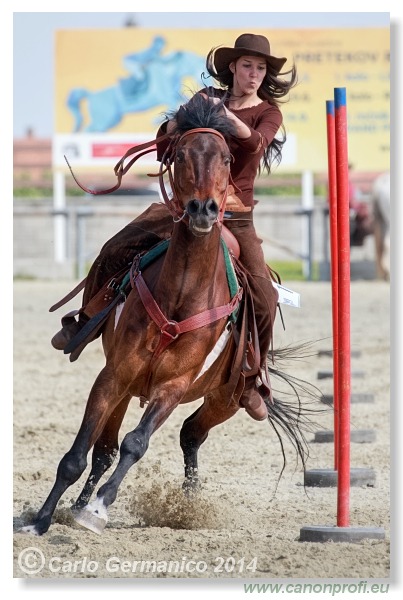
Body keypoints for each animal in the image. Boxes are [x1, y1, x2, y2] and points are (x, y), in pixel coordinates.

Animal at [21, 95, 312, 540]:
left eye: (228, 158)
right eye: (180, 155)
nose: (203, 209)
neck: (180, 297)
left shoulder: (173, 387)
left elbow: (136, 443)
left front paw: (99, 510)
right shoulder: (114, 374)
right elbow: (78, 455)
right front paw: (42, 519)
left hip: (227, 398)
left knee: (190, 434)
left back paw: (186, 503)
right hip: (127, 388)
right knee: (106, 450)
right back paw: (82, 502)